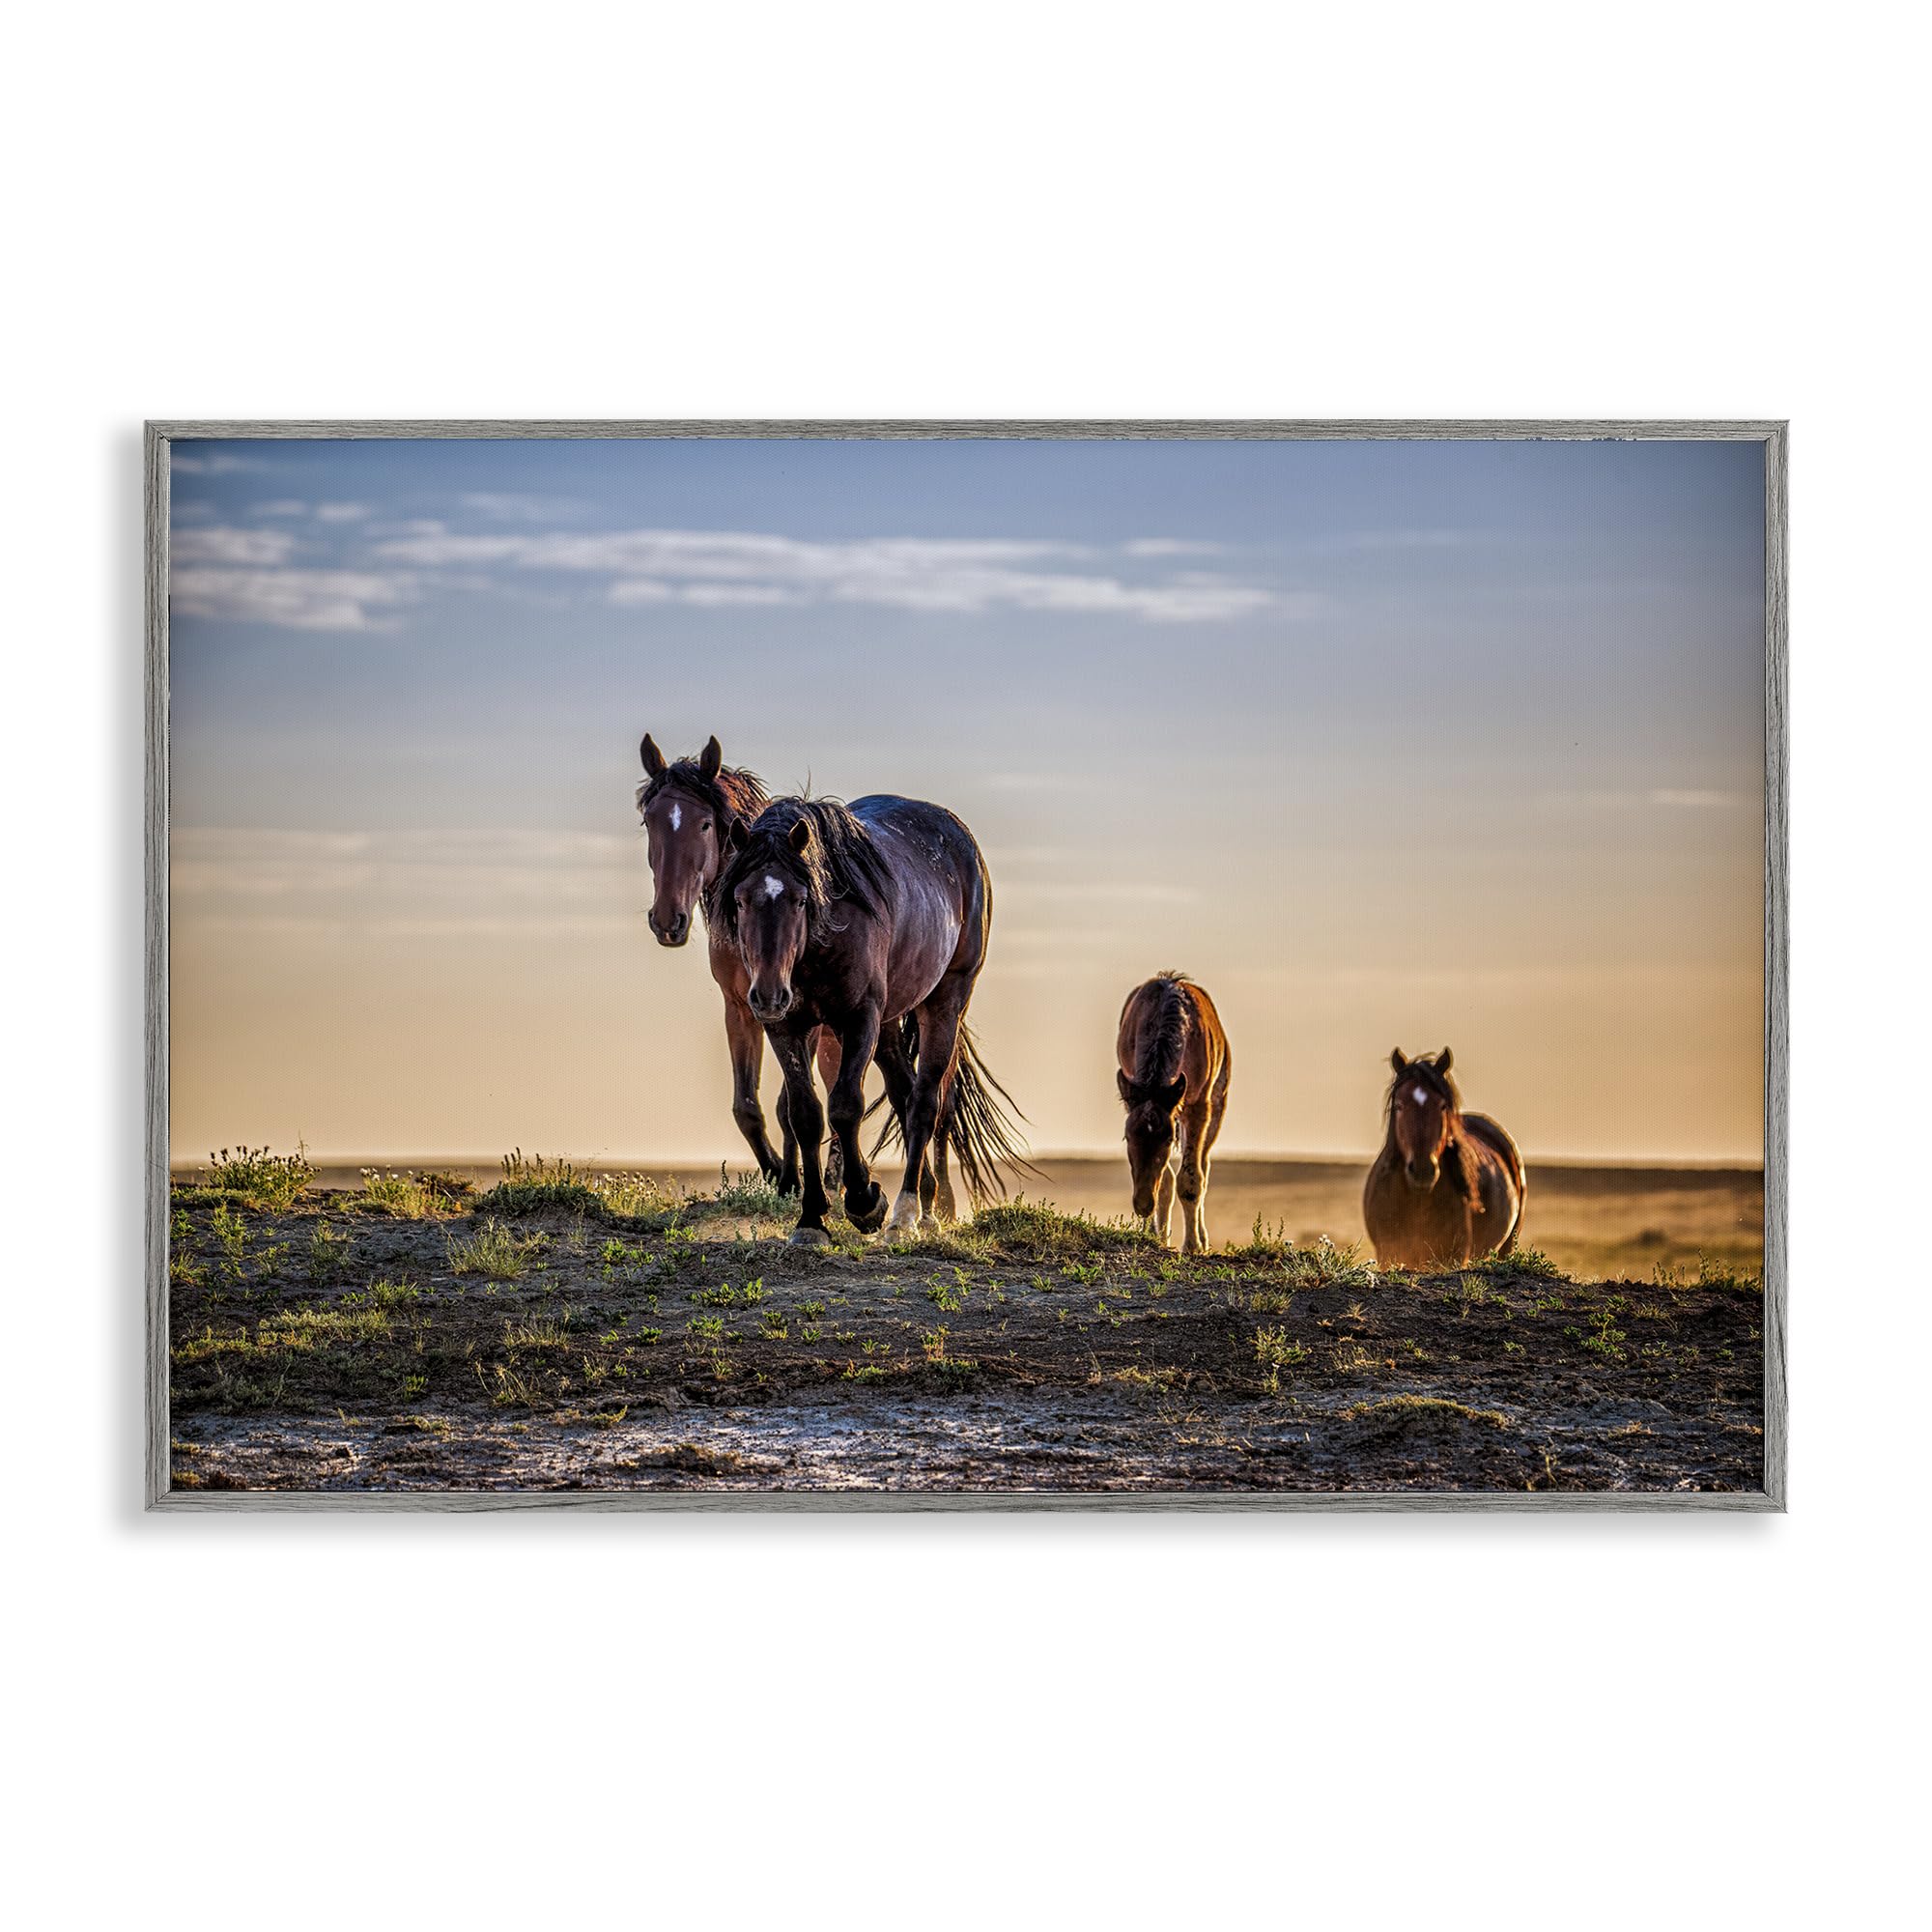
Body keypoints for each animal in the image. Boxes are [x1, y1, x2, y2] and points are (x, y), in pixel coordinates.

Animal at [715, 793, 1030, 1245]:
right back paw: (926, 1205)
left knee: (924, 1102)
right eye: (740, 901)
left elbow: (846, 1106)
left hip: (945, 1001)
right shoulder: (786, 1027)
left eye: (800, 899)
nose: (768, 994)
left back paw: (906, 1215)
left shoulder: (859, 1017)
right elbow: (805, 1114)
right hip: (888, 1025)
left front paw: (865, 1203)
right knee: (904, 1093)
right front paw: (811, 1220)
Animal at [1116, 971, 1231, 1253]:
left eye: (1168, 1139)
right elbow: (1166, 1180)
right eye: (1127, 1137)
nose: (1142, 1203)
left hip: (1217, 1105)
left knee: (1204, 1167)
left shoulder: (1198, 1105)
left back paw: (1202, 1239)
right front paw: (1152, 1235)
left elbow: (1191, 1180)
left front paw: (1192, 1246)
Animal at [1362, 1048, 1526, 1269]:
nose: (1423, 1170)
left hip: (1506, 1246)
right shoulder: (1387, 1253)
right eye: (1399, 1105)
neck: (1418, 1199)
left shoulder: (1453, 1257)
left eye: (1441, 1106)